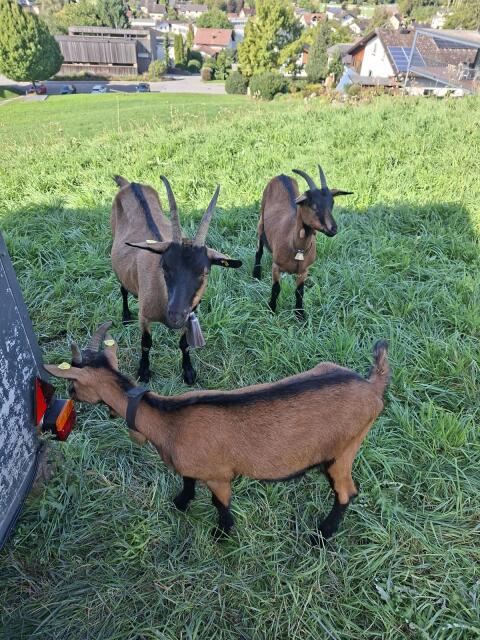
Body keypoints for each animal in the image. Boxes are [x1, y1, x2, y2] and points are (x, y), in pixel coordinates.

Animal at [45, 322, 390, 542]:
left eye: (72, 385)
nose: (70, 396)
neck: (168, 421)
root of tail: (371, 386)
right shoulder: (189, 465)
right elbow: (187, 480)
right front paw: (180, 503)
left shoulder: (219, 475)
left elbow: (220, 504)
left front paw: (222, 534)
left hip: (344, 450)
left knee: (347, 492)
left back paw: (322, 534)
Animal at [111, 176, 242, 384]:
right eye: (164, 267)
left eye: (204, 273)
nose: (175, 316)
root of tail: (131, 184)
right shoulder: (144, 316)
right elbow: (146, 343)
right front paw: (143, 372)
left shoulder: (189, 313)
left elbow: (184, 344)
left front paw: (188, 372)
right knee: (123, 287)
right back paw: (125, 316)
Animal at [253, 166, 352, 320]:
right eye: (313, 205)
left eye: (332, 203)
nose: (333, 229)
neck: (296, 247)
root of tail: (282, 175)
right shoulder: (276, 267)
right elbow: (276, 289)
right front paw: (271, 309)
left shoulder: (304, 271)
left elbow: (300, 292)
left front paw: (300, 314)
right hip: (261, 220)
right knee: (259, 249)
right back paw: (256, 273)